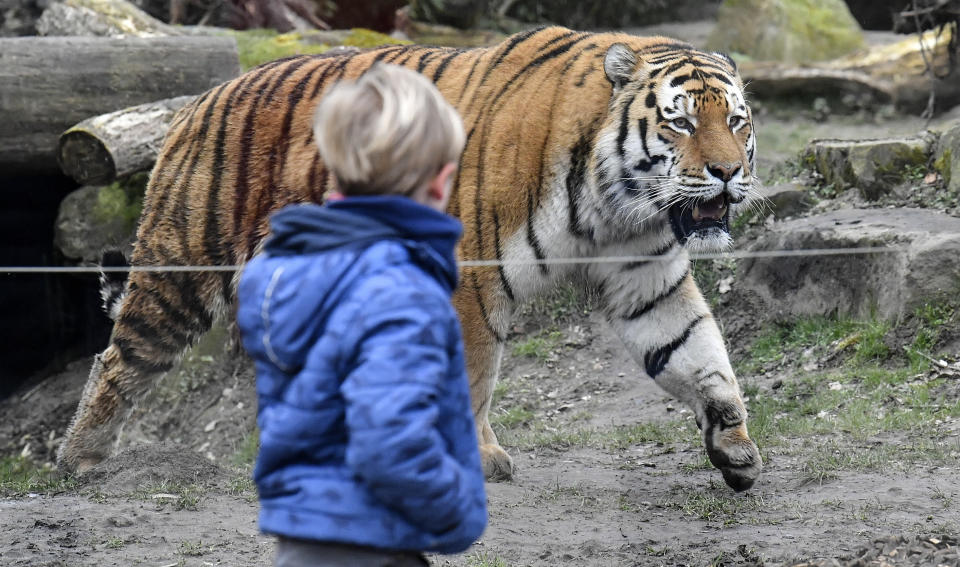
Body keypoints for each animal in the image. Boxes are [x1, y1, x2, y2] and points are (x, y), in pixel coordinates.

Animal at [58, 26, 764, 490]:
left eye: (736, 121)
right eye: (679, 123)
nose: (728, 172)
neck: (615, 204)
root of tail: (193, 103)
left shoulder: (647, 277)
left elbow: (698, 352)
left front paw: (735, 445)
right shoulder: (471, 281)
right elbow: (473, 378)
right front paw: (478, 459)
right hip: (181, 270)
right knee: (117, 360)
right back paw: (80, 458)